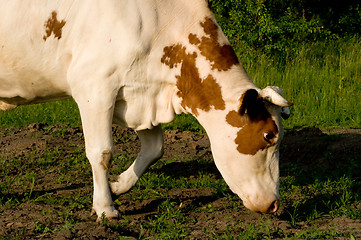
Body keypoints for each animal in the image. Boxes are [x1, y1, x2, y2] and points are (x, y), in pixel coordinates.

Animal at [0, 0, 292, 221]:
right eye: (268, 136)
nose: (275, 205)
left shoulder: (138, 96)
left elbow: (155, 148)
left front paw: (117, 186)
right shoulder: (94, 86)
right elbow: (101, 152)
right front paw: (105, 207)